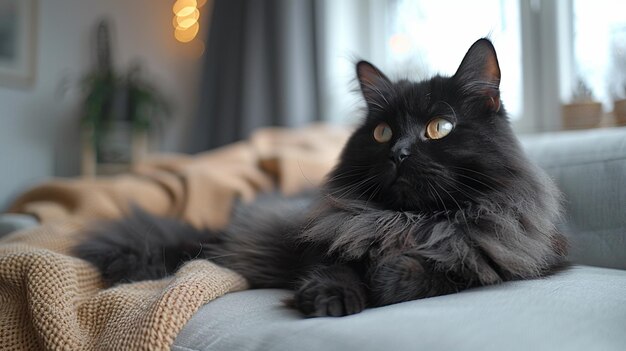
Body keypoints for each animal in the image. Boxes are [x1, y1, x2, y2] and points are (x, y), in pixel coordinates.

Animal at [74, 39, 564, 320]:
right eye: (382, 132)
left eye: (439, 127)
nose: (399, 153)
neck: (407, 221)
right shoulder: (323, 237)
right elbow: (333, 266)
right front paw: (331, 299)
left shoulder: (499, 258)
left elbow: (441, 271)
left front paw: (386, 276)